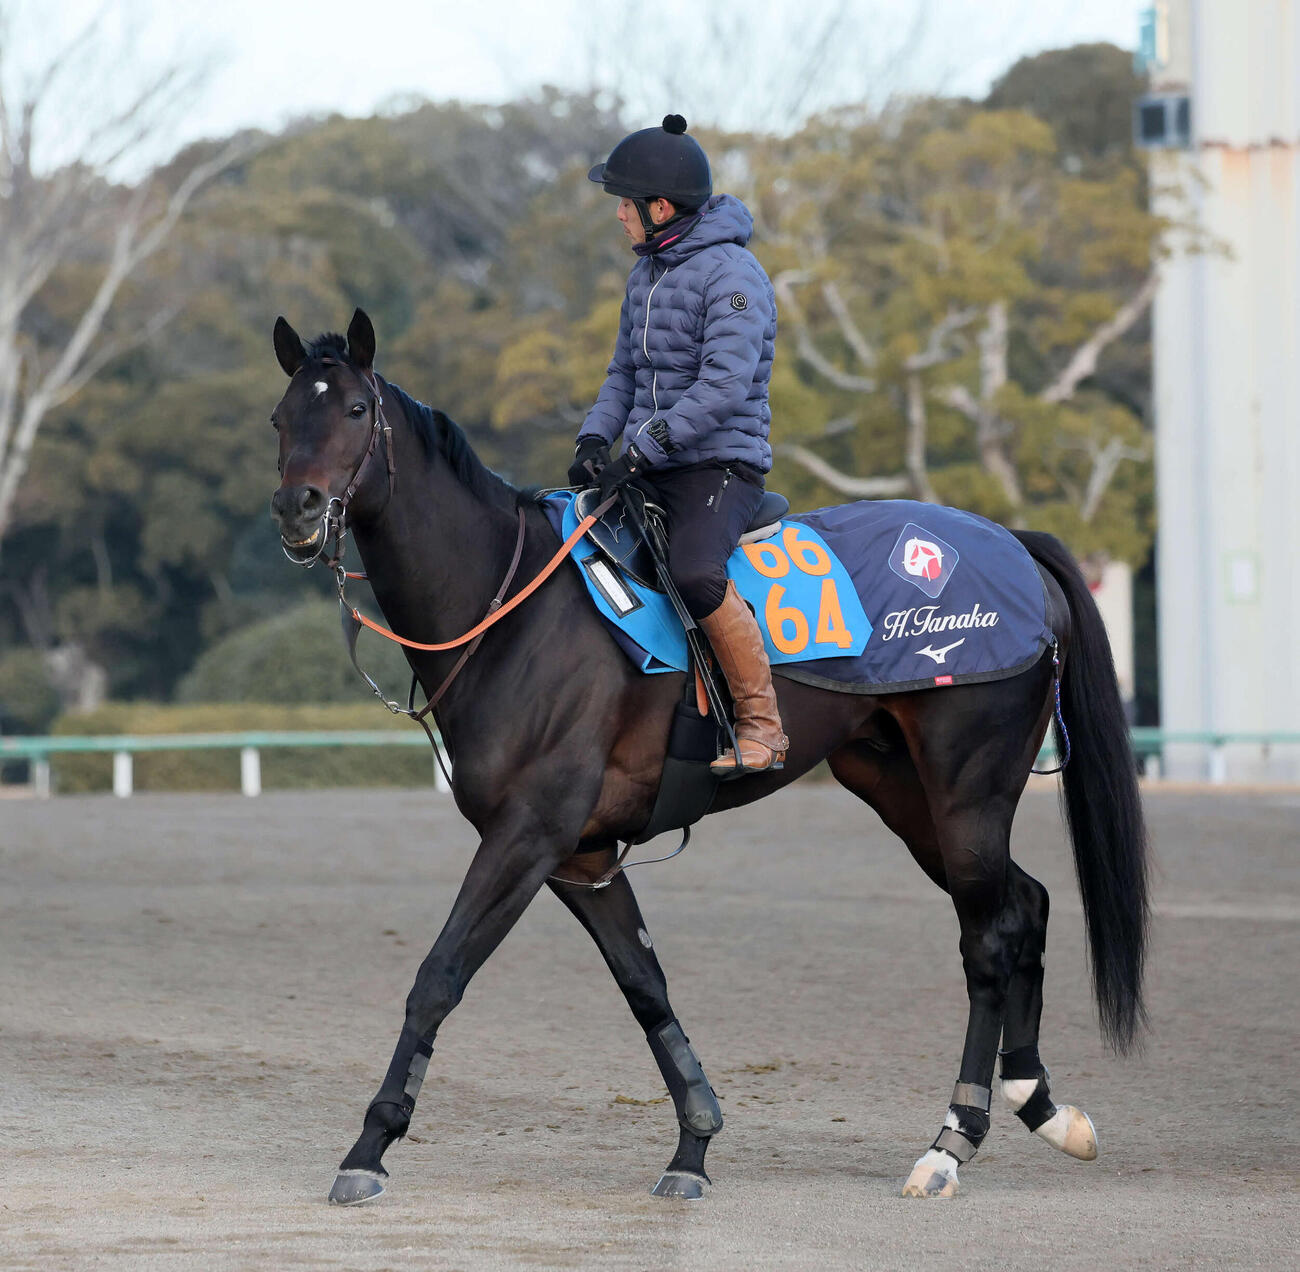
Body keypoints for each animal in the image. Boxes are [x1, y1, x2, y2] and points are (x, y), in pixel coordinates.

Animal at [267, 308, 1148, 1205]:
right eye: (280, 419)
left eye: (353, 411)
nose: (297, 507)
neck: (510, 612)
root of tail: (1015, 546)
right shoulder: (582, 855)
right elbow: (644, 986)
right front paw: (693, 1142)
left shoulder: (527, 835)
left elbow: (438, 977)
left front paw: (369, 1146)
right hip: (903, 791)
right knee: (1026, 902)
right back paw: (1041, 1104)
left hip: (969, 790)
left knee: (988, 941)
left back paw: (951, 1139)